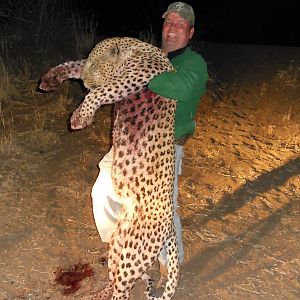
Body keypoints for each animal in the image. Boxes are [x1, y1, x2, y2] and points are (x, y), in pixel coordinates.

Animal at [39, 36, 180, 298]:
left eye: (96, 66)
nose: (84, 81)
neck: (135, 50)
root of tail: (170, 226)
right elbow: (73, 63)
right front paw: (51, 78)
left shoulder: (130, 80)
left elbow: (99, 93)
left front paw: (80, 118)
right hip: (119, 243)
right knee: (116, 278)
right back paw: (101, 293)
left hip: (134, 254)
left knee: (123, 287)